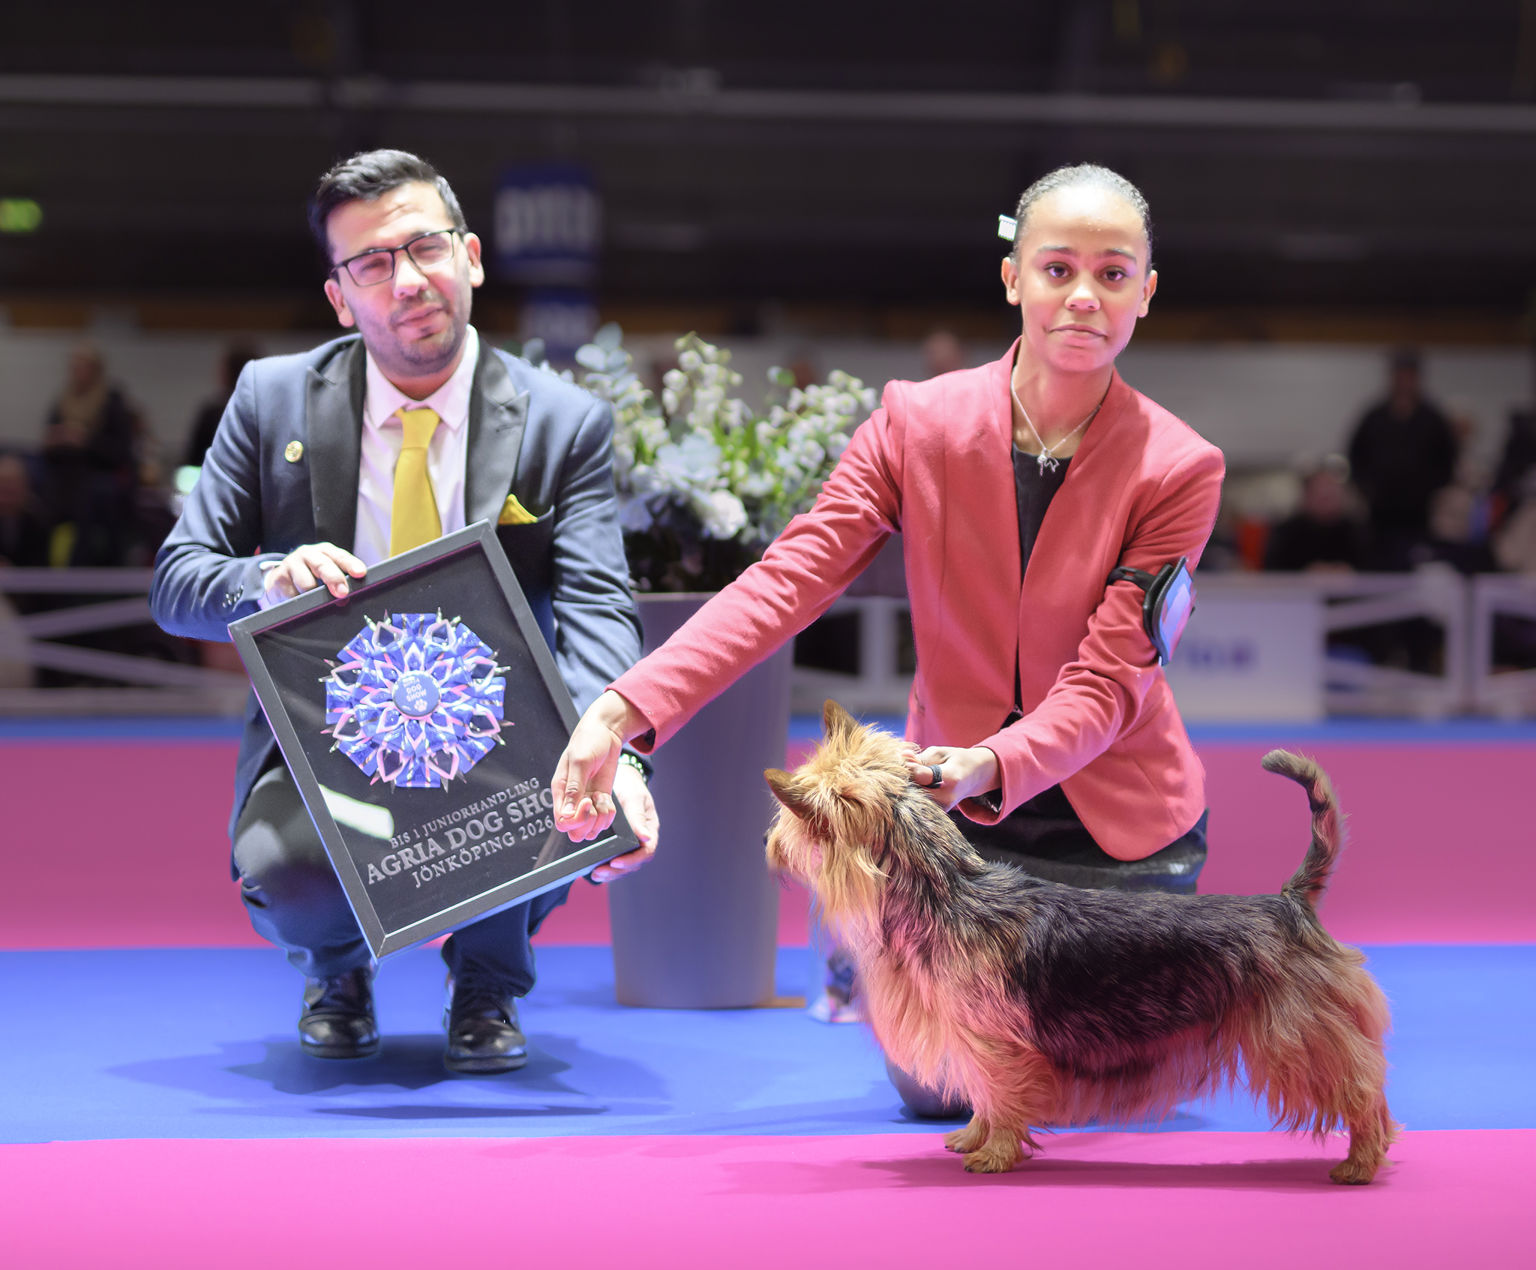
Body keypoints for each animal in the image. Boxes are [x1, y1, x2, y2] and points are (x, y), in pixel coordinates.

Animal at [764, 701, 1398, 1182]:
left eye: (787, 822)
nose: (769, 847)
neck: (949, 890)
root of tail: (1290, 902)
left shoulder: (995, 1042)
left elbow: (1000, 1093)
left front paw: (995, 1154)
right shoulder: (974, 1038)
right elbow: (983, 1094)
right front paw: (972, 1137)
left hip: (1298, 1034)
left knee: (1362, 1088)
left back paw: (1361, 1163)